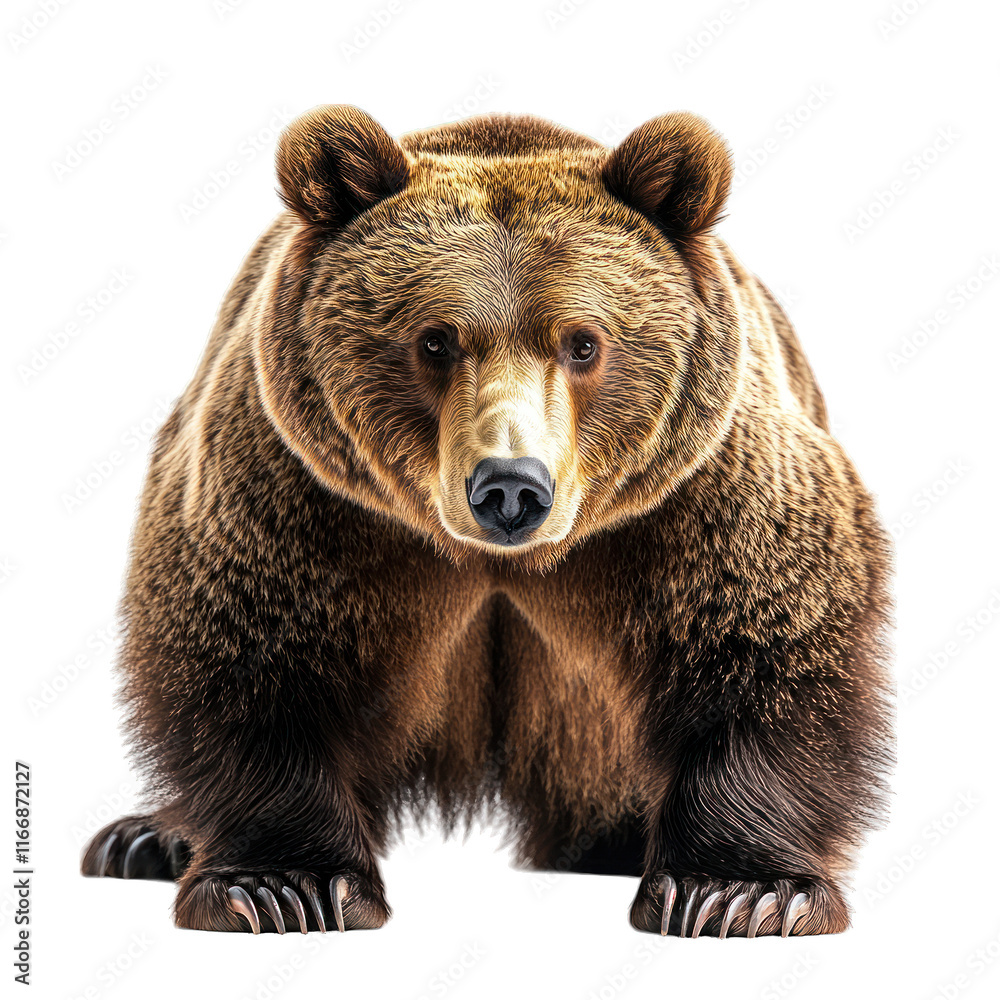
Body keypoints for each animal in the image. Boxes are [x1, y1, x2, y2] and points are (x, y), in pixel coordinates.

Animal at [82, 105, 893, 938]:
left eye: (583, 342)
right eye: (435, 339)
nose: (509, 488)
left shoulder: (692, 497)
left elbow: (760, 648)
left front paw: (738, 892)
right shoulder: (303, 493)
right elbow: (259, 654)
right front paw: (280, 885)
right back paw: (145, 838)